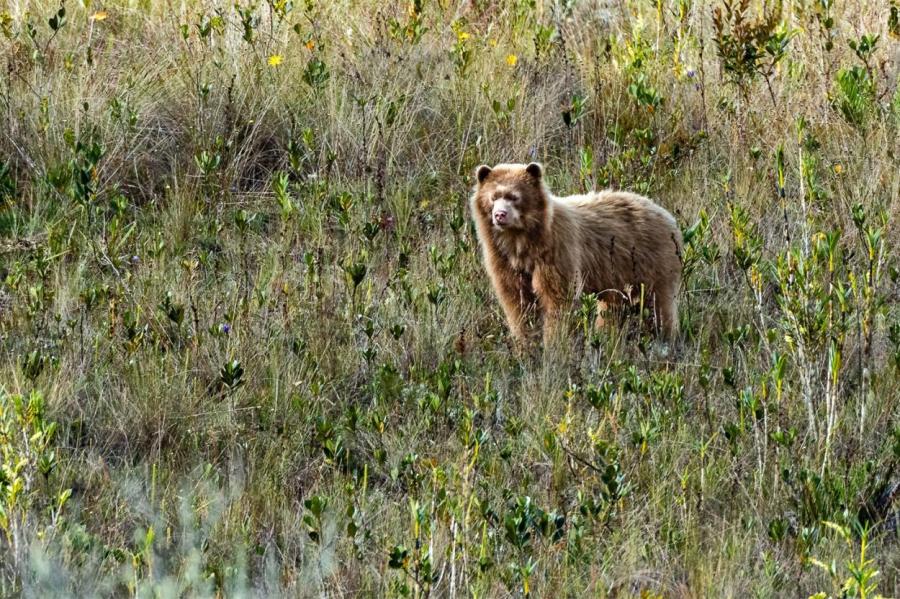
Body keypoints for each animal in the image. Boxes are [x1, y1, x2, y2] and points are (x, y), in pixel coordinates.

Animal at [472, 162, 684, 346]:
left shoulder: (556, 251)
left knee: (657, 305)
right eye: (493, 197)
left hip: (652, 262)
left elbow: (558, 299)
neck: (521, 242)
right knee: (613, 310)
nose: (500, 215)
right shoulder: (504, 260)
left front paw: (554, 343)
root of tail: (667, 215)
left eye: (514, 196)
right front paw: (526, 342)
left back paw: (666, 338)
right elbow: (517, 300)